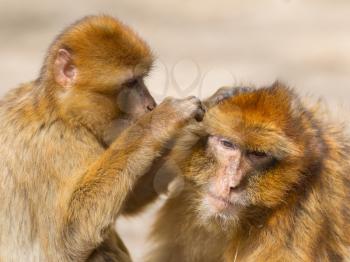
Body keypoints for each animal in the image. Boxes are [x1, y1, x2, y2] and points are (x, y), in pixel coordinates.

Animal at [0, 15, 205, 260]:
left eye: (142, 79)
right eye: (130, 83)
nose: (151, 105)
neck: (62, 112)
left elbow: (129, 198)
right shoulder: (53, 145)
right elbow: (68, 238)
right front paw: (160, 120)